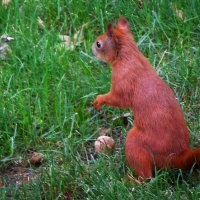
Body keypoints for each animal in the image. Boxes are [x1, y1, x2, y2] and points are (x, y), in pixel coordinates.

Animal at [92, 16, 200, 181]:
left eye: (99, 44)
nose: (92, 48)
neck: (129, 55)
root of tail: (175, 156)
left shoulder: (122, 81)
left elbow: (117, 99)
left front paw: (99, 99)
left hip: (135, 142)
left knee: (146, 176)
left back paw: (131, 180)